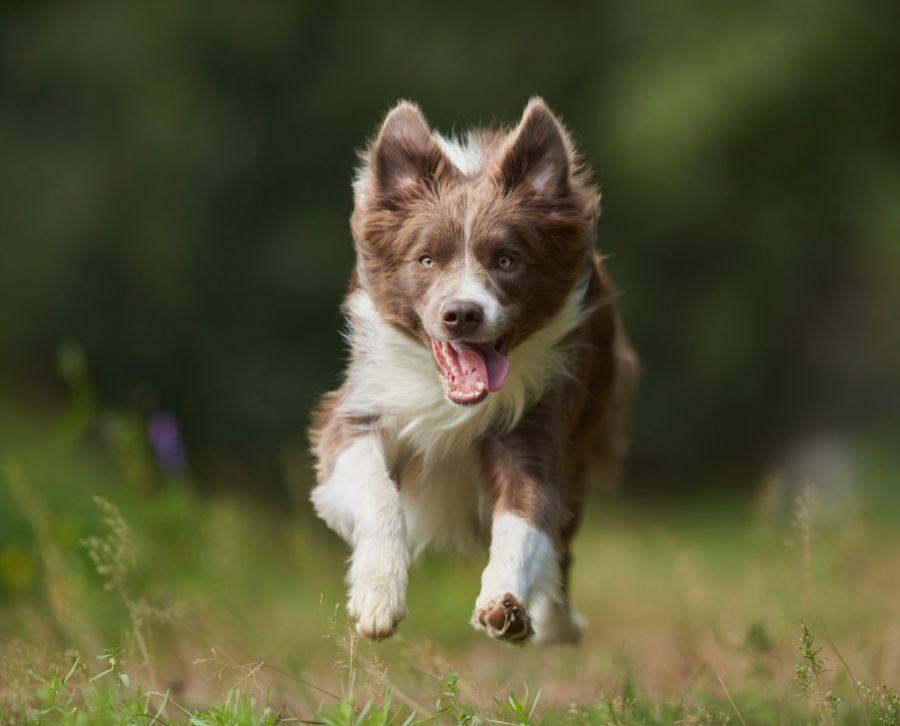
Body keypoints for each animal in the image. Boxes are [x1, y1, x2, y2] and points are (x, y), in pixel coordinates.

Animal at [312, 98, 636, 648]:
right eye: (425, 259)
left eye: (506, 260)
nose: (462, 314)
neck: (450, 400)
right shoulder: (357, 413)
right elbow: (380, 495)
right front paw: (378, 598)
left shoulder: (536, 427)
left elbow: (524, 520)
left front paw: (505, 604)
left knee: (562, 542)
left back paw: (558, 626)